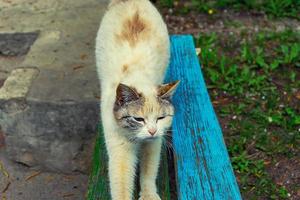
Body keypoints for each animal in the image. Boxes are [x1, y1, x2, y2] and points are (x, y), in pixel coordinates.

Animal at [95, 0, 178, 199]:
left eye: (161, 118)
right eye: (138, 119)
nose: (152, 131)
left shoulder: (153, 144)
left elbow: (148, 172)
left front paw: (148, 195)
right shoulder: (120, 151)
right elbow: (122, 186)